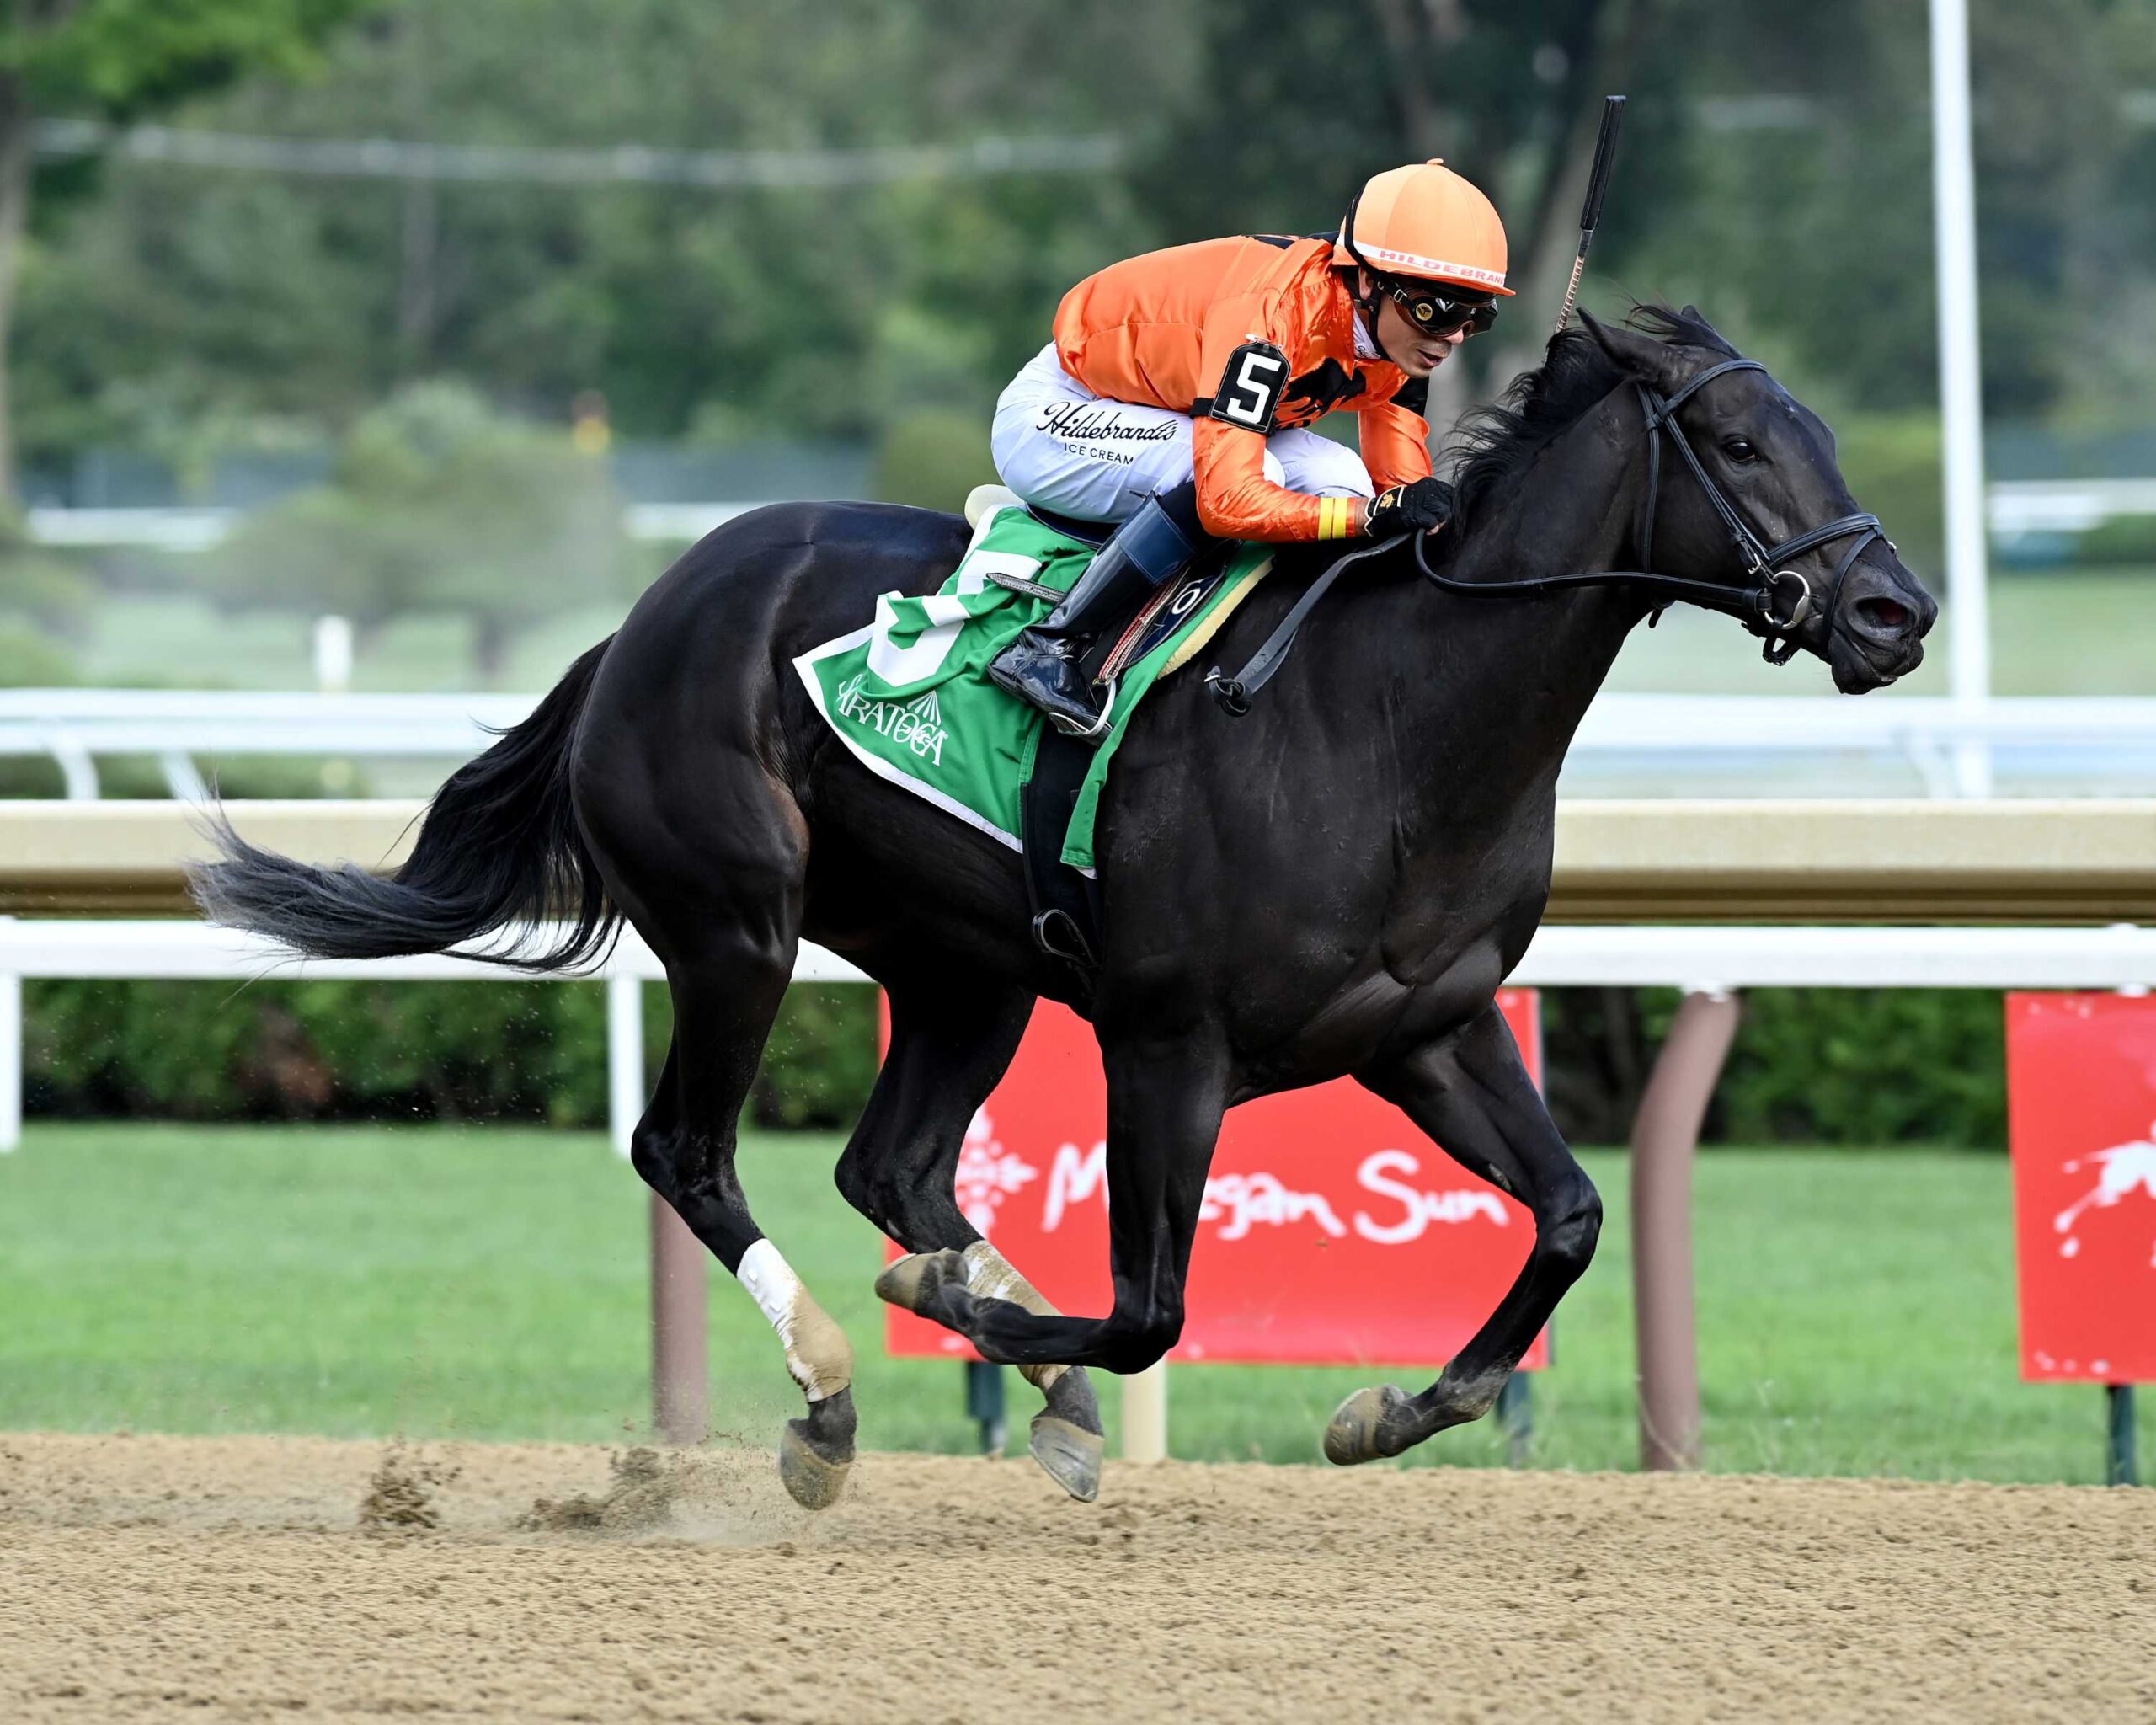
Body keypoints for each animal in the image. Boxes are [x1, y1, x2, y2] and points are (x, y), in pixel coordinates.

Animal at [193, 306, 1935, 1509]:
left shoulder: (1427, 1028)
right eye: (1743, 444)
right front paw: (968, 1324)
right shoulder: (1169, 1040)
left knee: (890, 1163)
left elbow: (1569, 1215)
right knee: (687, 1150)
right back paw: (834, 1391)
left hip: (966, 969)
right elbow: (1151, 1307)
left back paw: (990, 1331)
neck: (1390, 716)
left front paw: (1384, 1408)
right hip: (739, 927)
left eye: (1824, 434)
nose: (1894, 610)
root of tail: (644, 617)